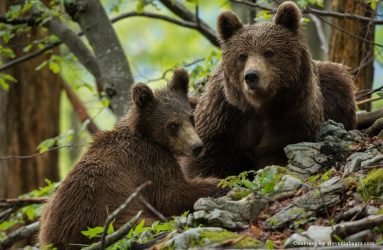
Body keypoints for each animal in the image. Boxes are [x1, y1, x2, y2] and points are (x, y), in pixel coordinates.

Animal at [39, 69, 222, 250]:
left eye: (191, 118)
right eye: (172, 124)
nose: (197, 146)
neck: (147, 135)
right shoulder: (149, 163)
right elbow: (173, 194)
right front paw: (217, 183)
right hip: (104, 216)